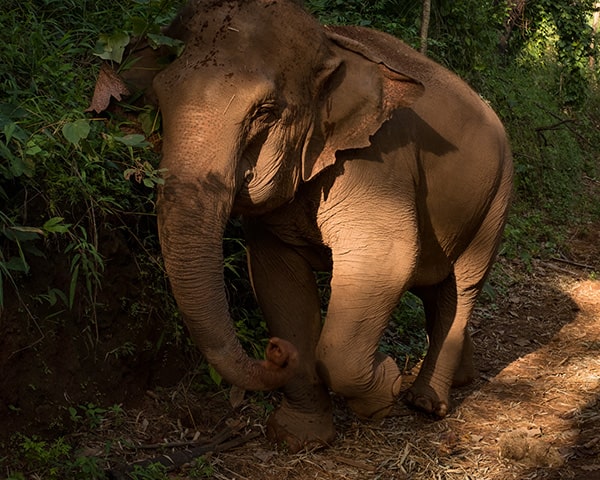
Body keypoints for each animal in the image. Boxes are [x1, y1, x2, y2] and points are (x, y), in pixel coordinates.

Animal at [112, 0, 510, 450]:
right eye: (158, 101)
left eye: (264, 112)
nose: (274, 350)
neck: (330, 47)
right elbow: (277, 277)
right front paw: (298, 437)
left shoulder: (378, 164)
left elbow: (386, 259)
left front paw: (386, 385)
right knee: (435, 286)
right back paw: (462, 379)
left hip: (497, 197)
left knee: (462, 286)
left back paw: (426, 403)